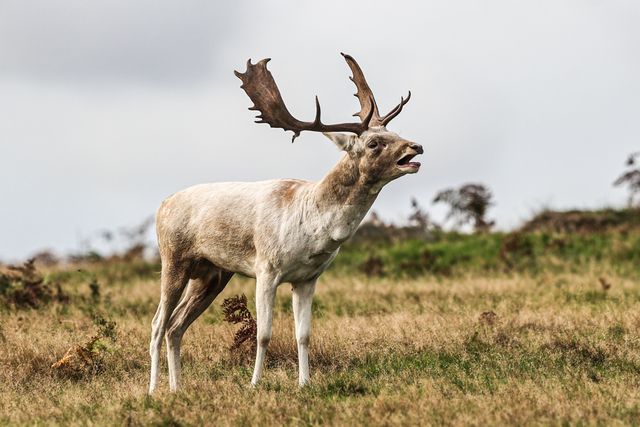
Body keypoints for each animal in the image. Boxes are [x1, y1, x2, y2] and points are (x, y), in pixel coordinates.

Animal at [148, 53, 422, 393]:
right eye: (374, 144)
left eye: (396, 134)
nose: (416, 147)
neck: (311, 227)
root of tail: (162, 205)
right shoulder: (266, 268)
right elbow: (263, 334)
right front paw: (254, 384)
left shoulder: (307, 278)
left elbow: (303, 335)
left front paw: (305, 383)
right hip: (174, 259)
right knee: (158, 323)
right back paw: (153, 390)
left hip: (212, 273)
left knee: (176, 325)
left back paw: (177, 388)